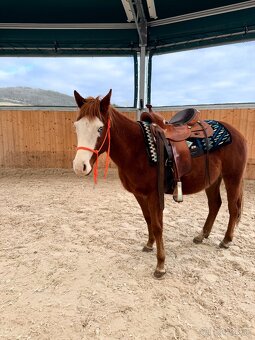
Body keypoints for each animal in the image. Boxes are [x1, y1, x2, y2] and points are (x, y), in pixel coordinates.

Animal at [72, 89, 248, 278]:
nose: (80, 166)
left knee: (233, 208)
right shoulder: (139, 194)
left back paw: (226, 240)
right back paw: (202, 235)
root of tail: (237, 133)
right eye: (76, 127)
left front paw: (161, 265)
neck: (137, 148)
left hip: (232, 178)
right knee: (215, 204)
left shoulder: (154, 195)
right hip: (212, 180)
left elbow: (157, 226)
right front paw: (149, 245)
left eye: (100, 128)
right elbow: (148, 219)